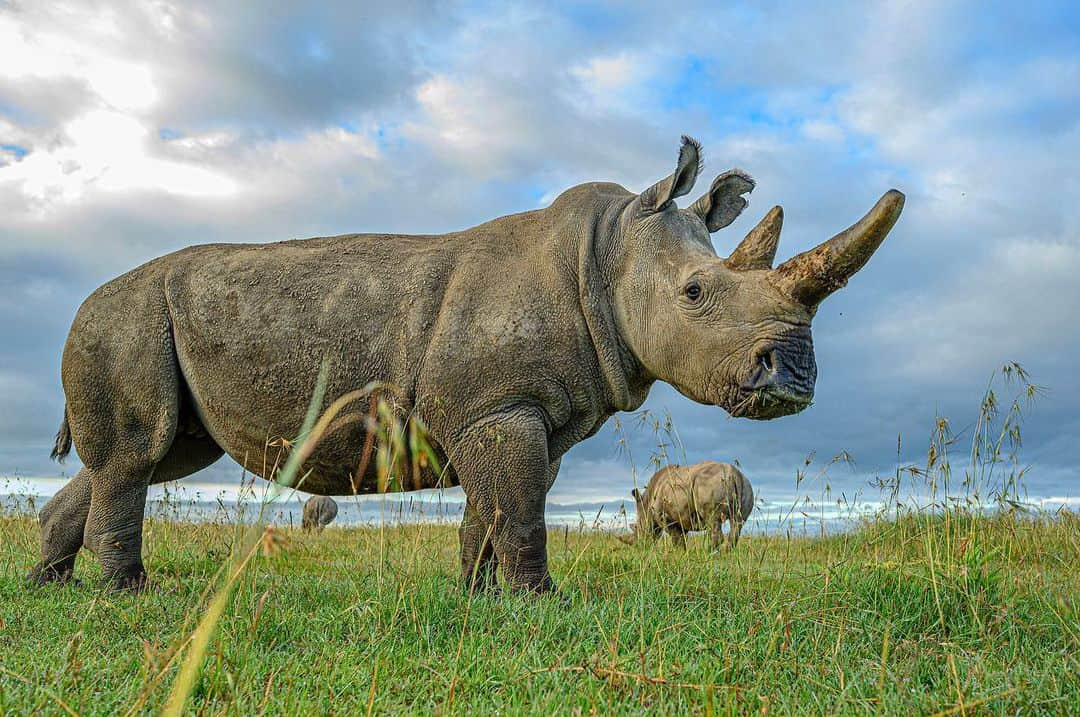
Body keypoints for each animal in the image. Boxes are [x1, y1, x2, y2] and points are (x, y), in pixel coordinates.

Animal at [622, 462, 756, 550]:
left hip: (711, 485)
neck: (646, 505)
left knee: (713, 520)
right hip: (746, 485)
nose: (639, 547)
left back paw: (707, 553)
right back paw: (724, 554)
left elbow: (676, 538)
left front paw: (679, 554)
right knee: (738, 523)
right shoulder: (681, 517)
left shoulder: (664, 517)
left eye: (637, 528)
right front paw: (684, 553)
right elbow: (681, 538)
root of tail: (734, 474)